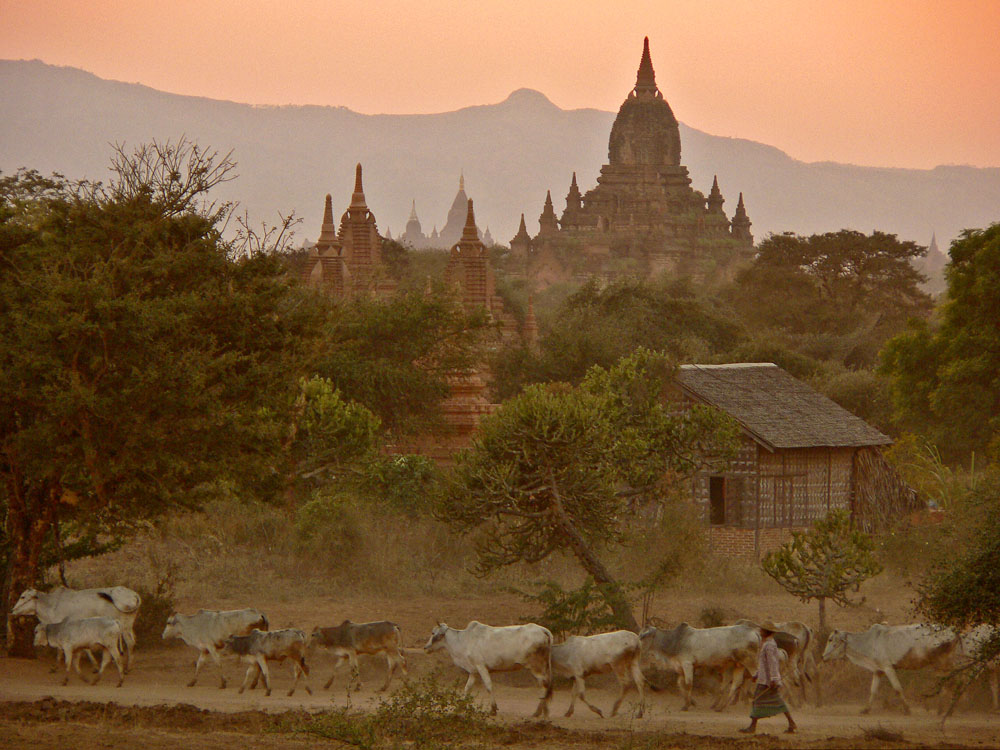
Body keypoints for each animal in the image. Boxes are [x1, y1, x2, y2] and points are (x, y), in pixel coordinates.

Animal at [13, 592, 141, 672]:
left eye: (23, 597)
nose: (13, 610)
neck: (51, 606)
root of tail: (133, 594)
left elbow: (61, 649)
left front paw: (55, 667)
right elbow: (84, 648)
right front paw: (94, 666)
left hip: (124, 628)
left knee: (130, 643)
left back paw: (127, 668)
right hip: (128, 627)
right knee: (133, 641)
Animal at [424, 620, 556, 720]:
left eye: (432, 633)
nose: (426, 647)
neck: (463, 641)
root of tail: (543, 630)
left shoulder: (481, 666)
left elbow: (488, 686)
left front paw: (493, 709)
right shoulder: (473, 671)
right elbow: (467, 688)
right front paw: (460, 707)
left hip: (535, 666)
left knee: (544, 685)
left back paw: (539, 711)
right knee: (545, 685)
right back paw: (543, 711)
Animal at [824, 624, 956, 716]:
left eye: (830, 639)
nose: (823, 656)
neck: (869, 642)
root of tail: (952, 630)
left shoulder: (888, 668)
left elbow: (897, 688)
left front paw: (907, 710)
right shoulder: (878, 671)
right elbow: (873, 691)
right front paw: (866, 709)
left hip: (944, 663)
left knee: (951, 684)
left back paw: (944, 710)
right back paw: (944, 710)